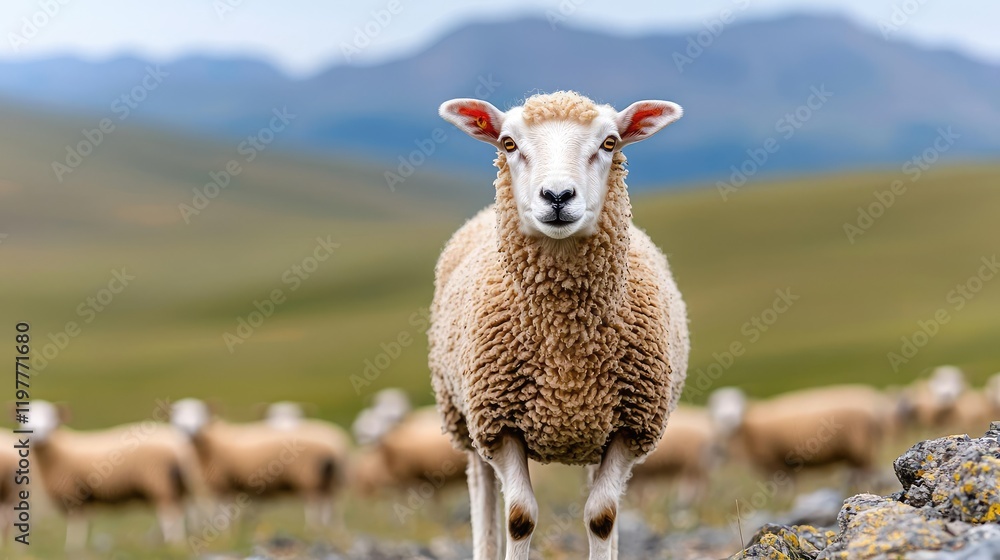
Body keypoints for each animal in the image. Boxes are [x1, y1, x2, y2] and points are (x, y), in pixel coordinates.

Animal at [23, 400, 199, 550]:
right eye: (26, 419)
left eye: (50, 417)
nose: (37, 433)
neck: (59, 448)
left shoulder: (73, 492)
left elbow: (76, 525)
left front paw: (72, 549)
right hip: (178, 484)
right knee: (183, 512)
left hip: (160, 480)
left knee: (170, 515)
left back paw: (172, 544)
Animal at [170, 398, 350, 529]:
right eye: (177, 417)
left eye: (200, 413)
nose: (188, 430)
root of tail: (330, 447)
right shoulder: (230, 487)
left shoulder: (223, 484)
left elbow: (223, 514)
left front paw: (226, 532)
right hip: (329, 481)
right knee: (329, 507)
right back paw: (328, 529)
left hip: (309, 477)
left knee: (314, 506)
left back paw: (314, 528)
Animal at [431, 90, 689, 559]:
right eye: (508, 143)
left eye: (609, 142)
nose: (556, 195)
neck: (566, 339)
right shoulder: (499, 424)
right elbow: (519, 517)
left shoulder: (631, 427)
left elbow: (603, 516)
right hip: (462, 416)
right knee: (481, 494)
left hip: (592, 433)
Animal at [707, 385, 893, 490]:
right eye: (715, 406)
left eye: (739, 402)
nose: (727, 418)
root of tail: (873, 413)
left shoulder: (775, 463)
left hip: (862, 448)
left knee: (871, 475)